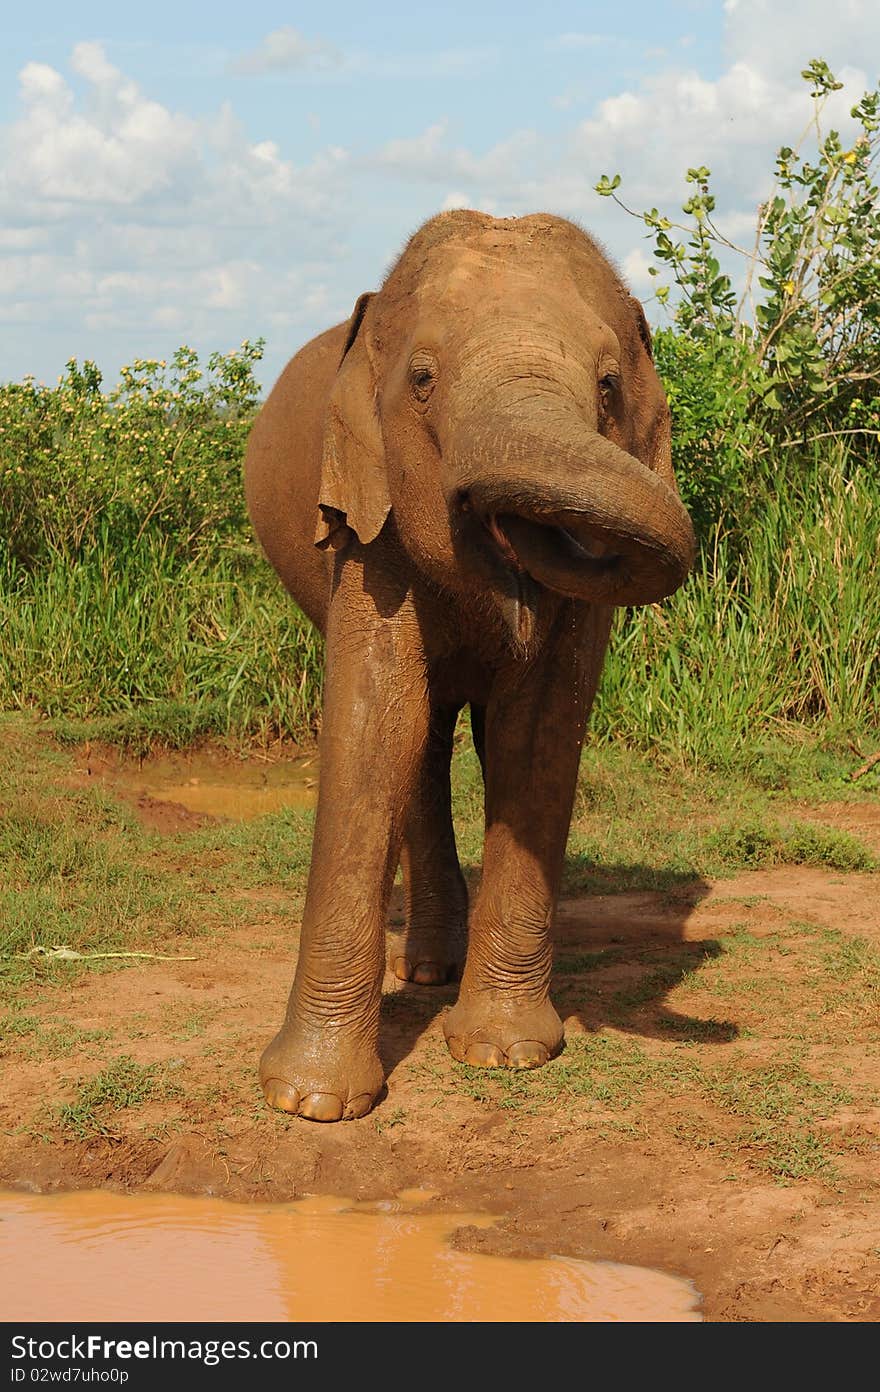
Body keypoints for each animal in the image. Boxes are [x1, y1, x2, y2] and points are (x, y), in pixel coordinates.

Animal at [242, 206, 693, 1119]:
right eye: (421, 379)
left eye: (607, 387)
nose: (509, 544)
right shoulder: (367, 521)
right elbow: (377, 719)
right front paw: (309, 1104)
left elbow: (537, 728)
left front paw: (505, 1054)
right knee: (421, 739)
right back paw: (425, 972)